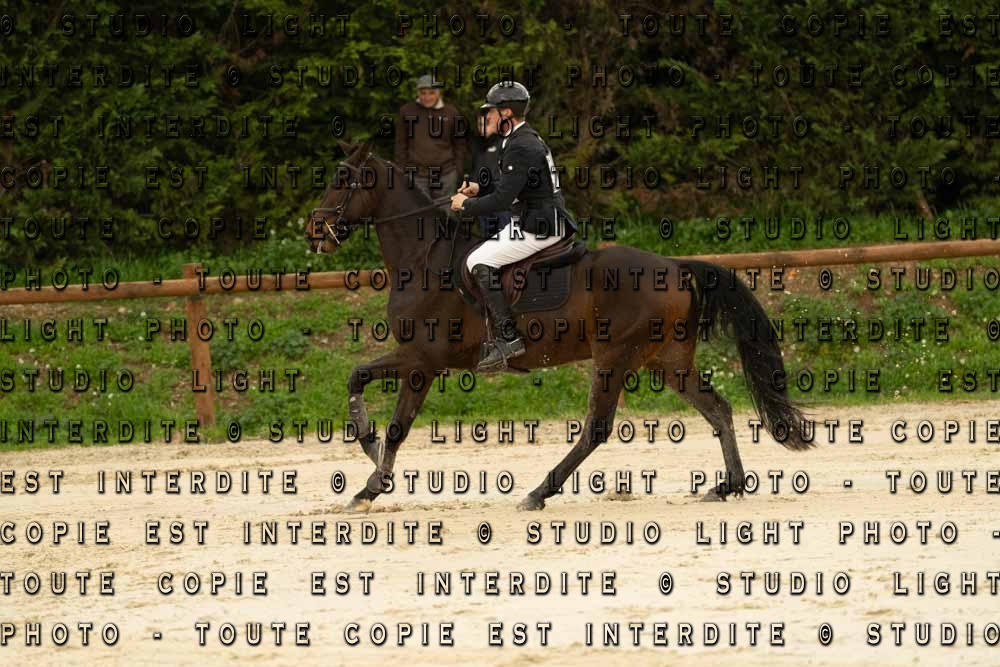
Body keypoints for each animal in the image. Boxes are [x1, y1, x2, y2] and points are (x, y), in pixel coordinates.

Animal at [307, 140, 813, 513]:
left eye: (342, 180)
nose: (313, 230)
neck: (422, 258)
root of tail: (674, 266)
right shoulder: (416, 359)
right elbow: (358, 380)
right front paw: (370, 454)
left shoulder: (421, 361)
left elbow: (394, 421)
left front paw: (370, 483)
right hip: (667, 361)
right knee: (718, 409)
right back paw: (728, 486)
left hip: (615, 357)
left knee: (597, 428)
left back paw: (538, 492)